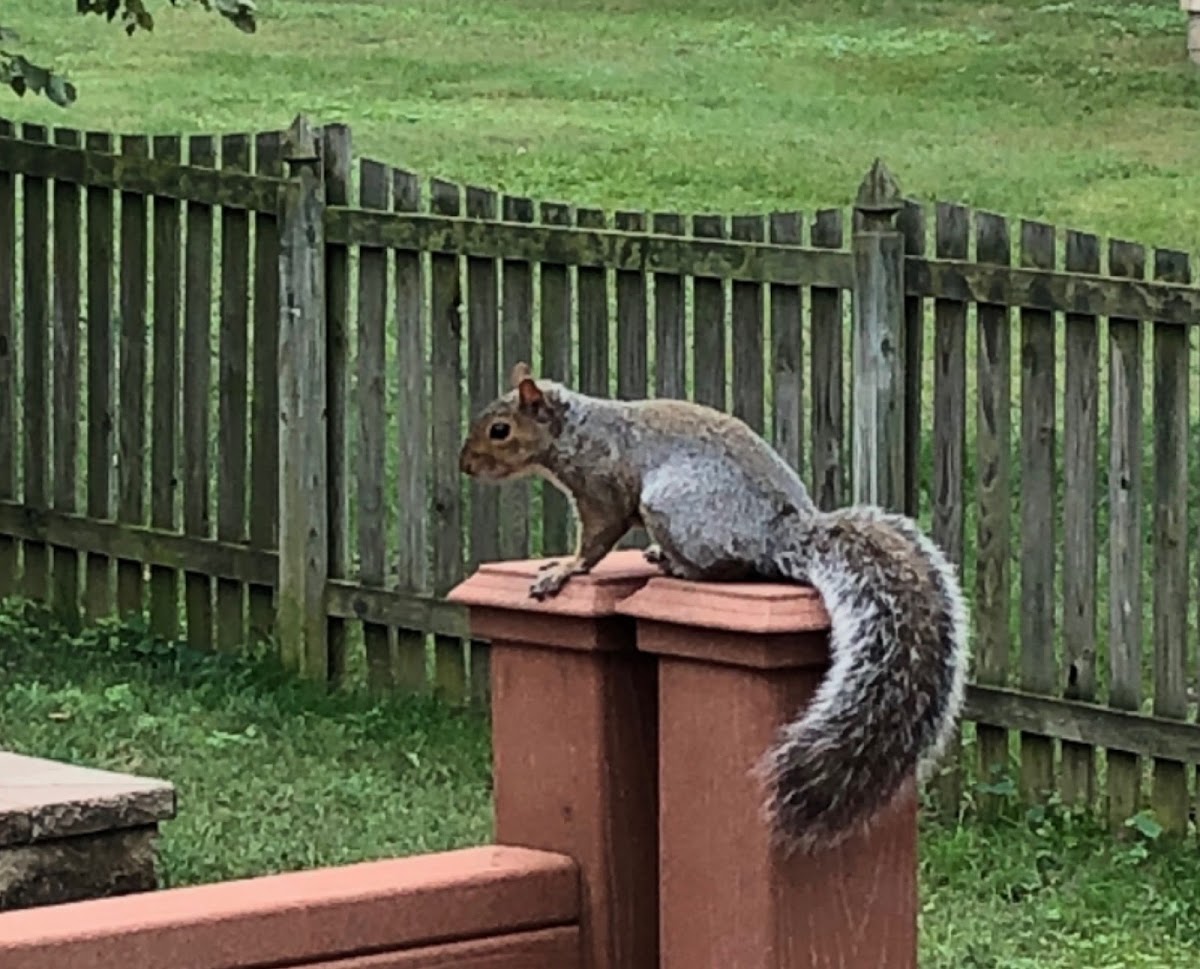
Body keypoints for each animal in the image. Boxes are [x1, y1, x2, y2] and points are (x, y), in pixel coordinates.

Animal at [453, 359, 969, 853]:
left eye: (500, 429)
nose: (465, 466)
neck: (577, 427)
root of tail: (781, 534)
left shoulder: (604, 488)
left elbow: (597, 539)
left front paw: (563, 569)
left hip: (672, 507)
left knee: (730, 568)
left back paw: (676, 567)